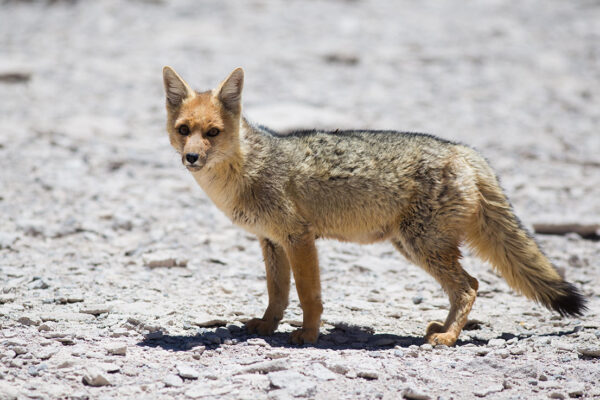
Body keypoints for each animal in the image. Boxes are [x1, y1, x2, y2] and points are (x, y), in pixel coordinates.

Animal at [161, 66, 584, 346]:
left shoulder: (299, 238)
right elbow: (277, 292)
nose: (191, 158)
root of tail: (463, 151)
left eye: (212, 133)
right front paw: (267, 327)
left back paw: (448, 337)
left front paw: (309, 334)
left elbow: (308, 295)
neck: (248, 169)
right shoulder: (271, 241)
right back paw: (442, 329)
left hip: (423, 246)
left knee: (470, 285)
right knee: (469, 285)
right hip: (414, 246)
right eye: (184, 131)